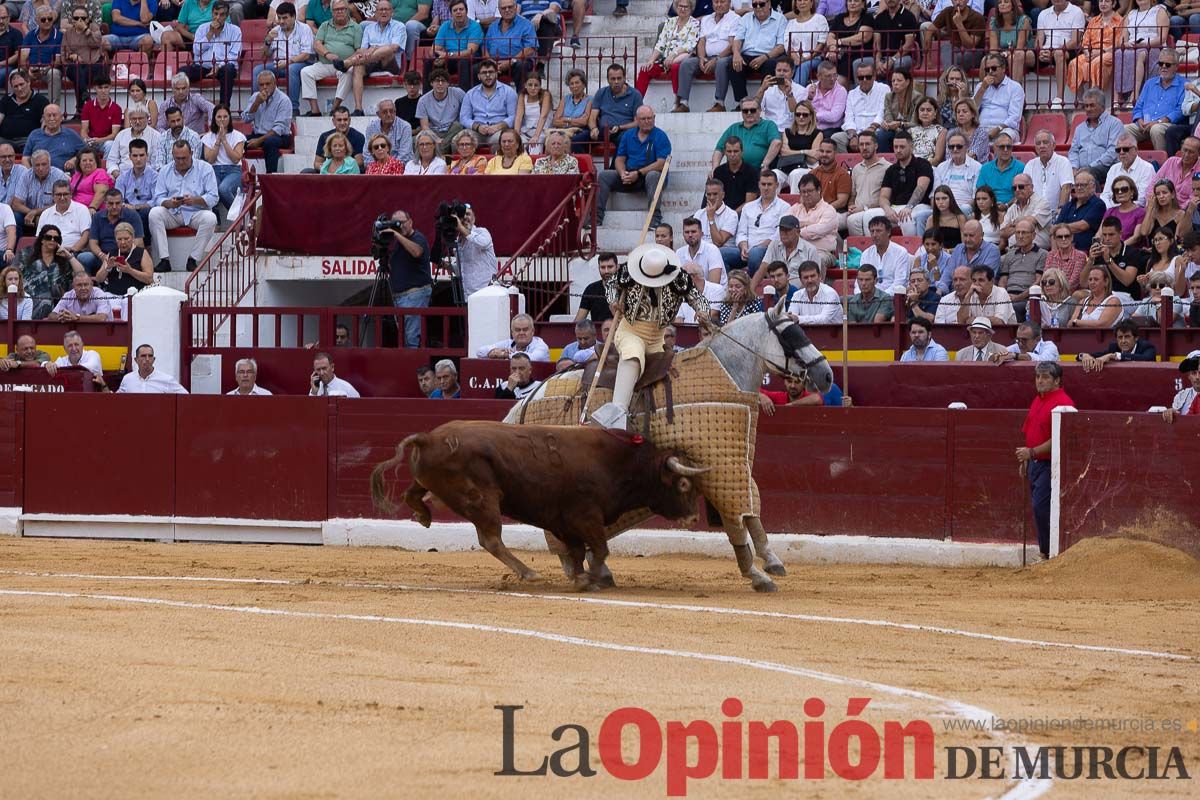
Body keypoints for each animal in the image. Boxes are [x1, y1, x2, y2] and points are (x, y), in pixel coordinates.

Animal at [364, 422, 700, 592]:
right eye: (684, 485)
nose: (694, 517)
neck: (621, 462)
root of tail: (428, 437)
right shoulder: (585, 516)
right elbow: (600, 549)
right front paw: (592, 579)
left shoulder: (565, 521)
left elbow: (577, 552)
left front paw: (581, 577)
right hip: (483, 498)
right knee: (491, 539)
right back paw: (529, 574)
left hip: (436, 482)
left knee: (412, 493)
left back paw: (423, 514)